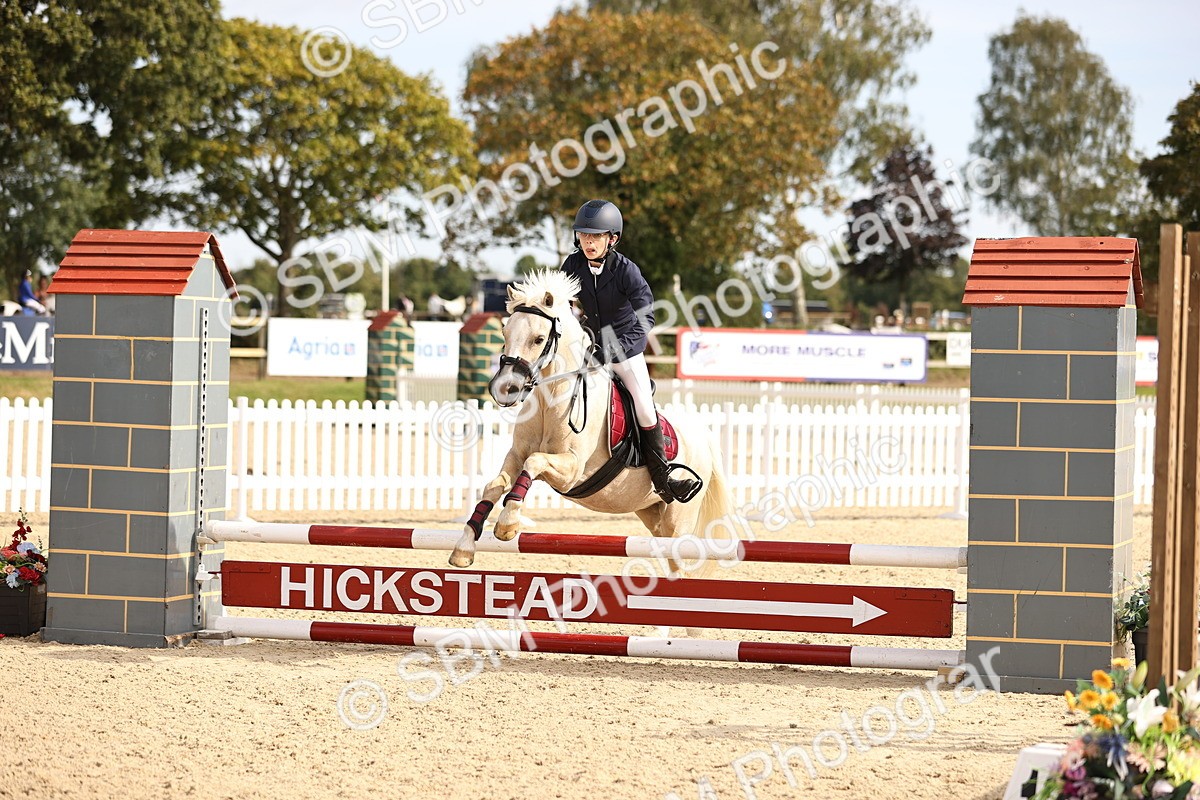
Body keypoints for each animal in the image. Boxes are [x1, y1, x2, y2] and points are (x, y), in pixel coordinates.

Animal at [449, 269, 733, 580]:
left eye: (538, 339)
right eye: (504, 334)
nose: (505, 389)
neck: (550, 401)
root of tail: (703, 437)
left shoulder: (571, 469)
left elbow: (534, 462)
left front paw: (507, 524)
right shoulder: (516, 455)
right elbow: (494, 484)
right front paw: (464, 548)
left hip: (678, 519)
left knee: (680, 556)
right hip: (650, 512)